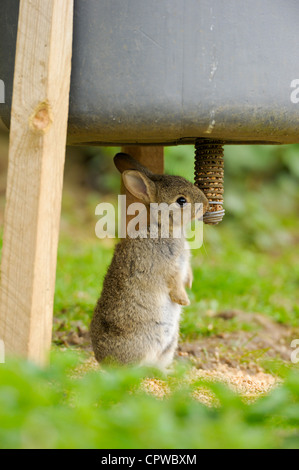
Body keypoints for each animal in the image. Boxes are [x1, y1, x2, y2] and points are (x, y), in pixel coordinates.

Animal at [90, 152, 210, 370]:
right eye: (181, 201)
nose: (205, 205)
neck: (165, 228)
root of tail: (104, 362)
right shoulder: (166, 268)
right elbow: (174, 283)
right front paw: (184, 300)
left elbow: (186, 274)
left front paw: (190, 283)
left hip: (169, 345)